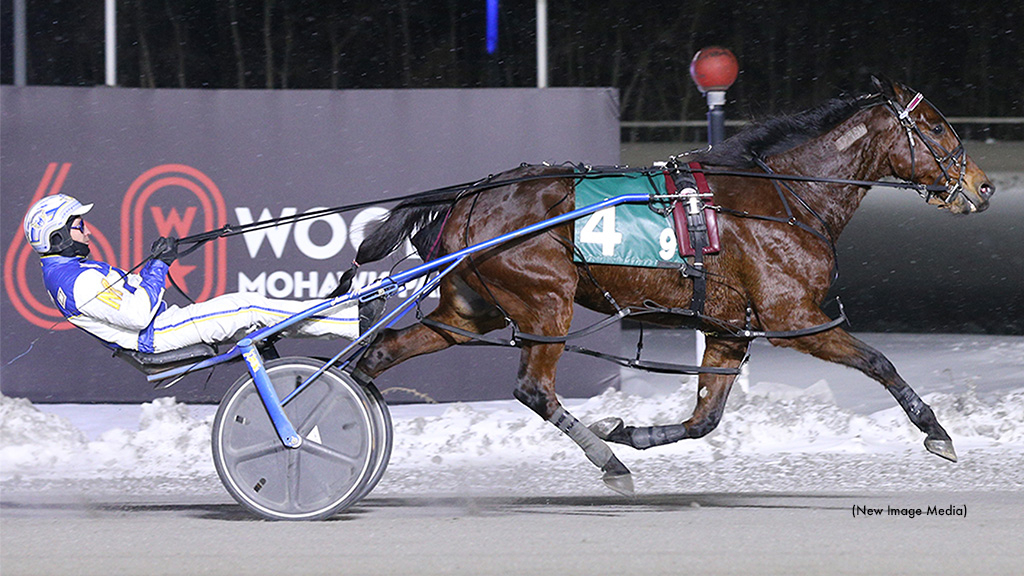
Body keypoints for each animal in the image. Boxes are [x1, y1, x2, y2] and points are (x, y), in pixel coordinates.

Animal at [344, 77, 991, 494]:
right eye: (936, 127)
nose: (981, 187)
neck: (784, 196)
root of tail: (468, 197)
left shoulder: (730, 330)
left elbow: (705, 417)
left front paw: (631, 428)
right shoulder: (795, 319)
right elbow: (880, 363)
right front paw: (937, 432)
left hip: (468, 309)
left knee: (381, 352)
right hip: (544, 301)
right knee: (533, 389)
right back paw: (607, 463)